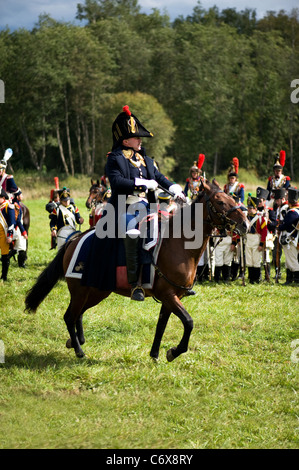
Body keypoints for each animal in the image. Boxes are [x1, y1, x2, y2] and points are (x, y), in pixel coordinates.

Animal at [25, 179, 248, 360]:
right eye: (220, 202)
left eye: (231, 197)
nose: (245, 224)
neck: (179, 244)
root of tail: (74, 240)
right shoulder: (168, 295)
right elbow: (189, 322)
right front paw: (174, 352)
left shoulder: (171, 297)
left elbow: (161, 325)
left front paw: (156, 354)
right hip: (81, 291)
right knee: (69, 316)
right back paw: (79, 350)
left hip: (96, 291)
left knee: (77, 314)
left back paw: (76, 341)